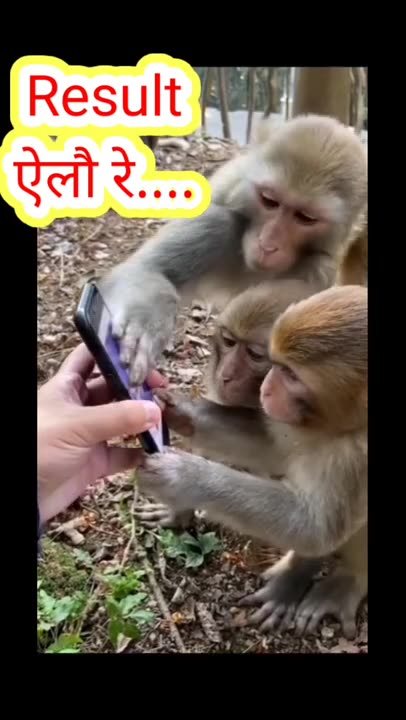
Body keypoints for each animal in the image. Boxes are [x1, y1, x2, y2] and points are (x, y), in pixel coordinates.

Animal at [99, 113, 367, 386]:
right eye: (269, 201)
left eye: (305, 217)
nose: (267, 244)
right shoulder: (214, 211)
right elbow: (149, 270)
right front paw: (144, 322)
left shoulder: (318, 272)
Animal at [135, 284, 368, 639]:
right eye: (275, 364)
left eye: (290, 373)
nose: (268, 387)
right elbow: (271, 445)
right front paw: (176, 410)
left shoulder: (356, 457)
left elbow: (316, 527)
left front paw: (183, 477)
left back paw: (336, 580)